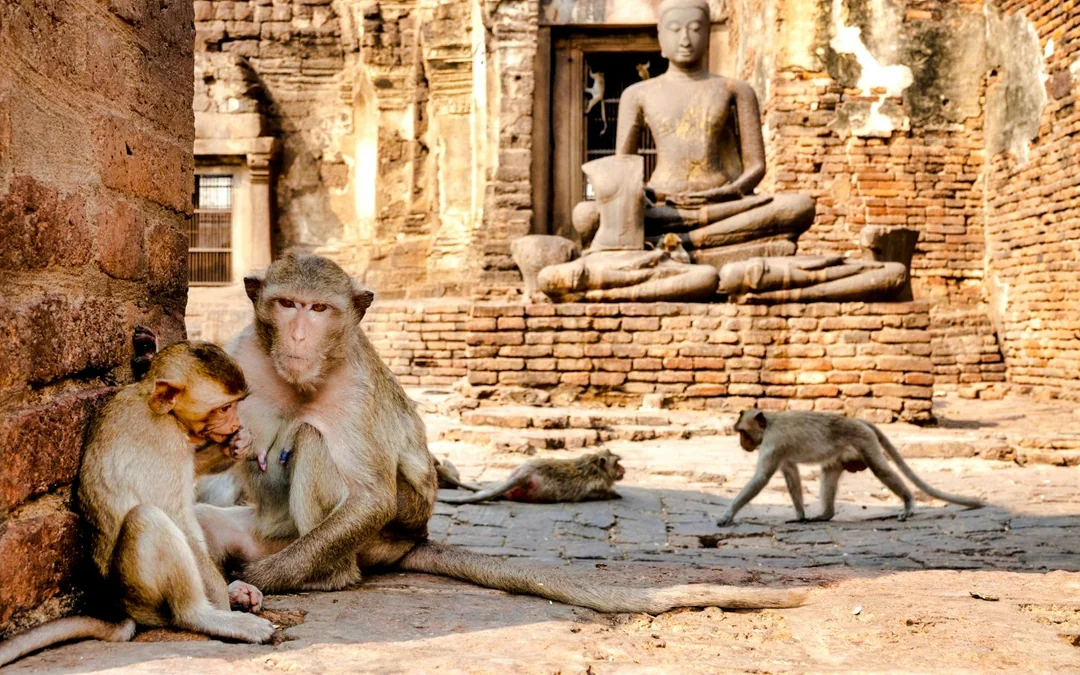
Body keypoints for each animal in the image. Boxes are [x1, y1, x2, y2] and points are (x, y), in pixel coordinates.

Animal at [0, 342, 274, 668]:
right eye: (224, 407)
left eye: (235, 405)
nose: (234, 423)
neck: (156, 405)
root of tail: (125, 607)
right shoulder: (164, 439)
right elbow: (175, 515)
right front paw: (223, 606)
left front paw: (238, 443)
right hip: (140, 590)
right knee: (149, 517)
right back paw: (204, 615)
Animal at [438, 449, 625, 505]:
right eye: (616, 463)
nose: (623, 469)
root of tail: (525, 472)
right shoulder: (597, 484)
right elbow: (599, 493)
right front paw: (615, 494)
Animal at [717, 409, 986, 526]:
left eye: (742, 432)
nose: (742, 443)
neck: (771, 422)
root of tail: (857, 420)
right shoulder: (780, 451)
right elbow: (790, 471)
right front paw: (800, 515)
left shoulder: (773, 443)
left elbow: (761, 478)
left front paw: (727, 514)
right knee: (829, 471)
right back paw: (825, 514)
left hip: (864, 441)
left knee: (880, 469)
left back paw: (909, 503)